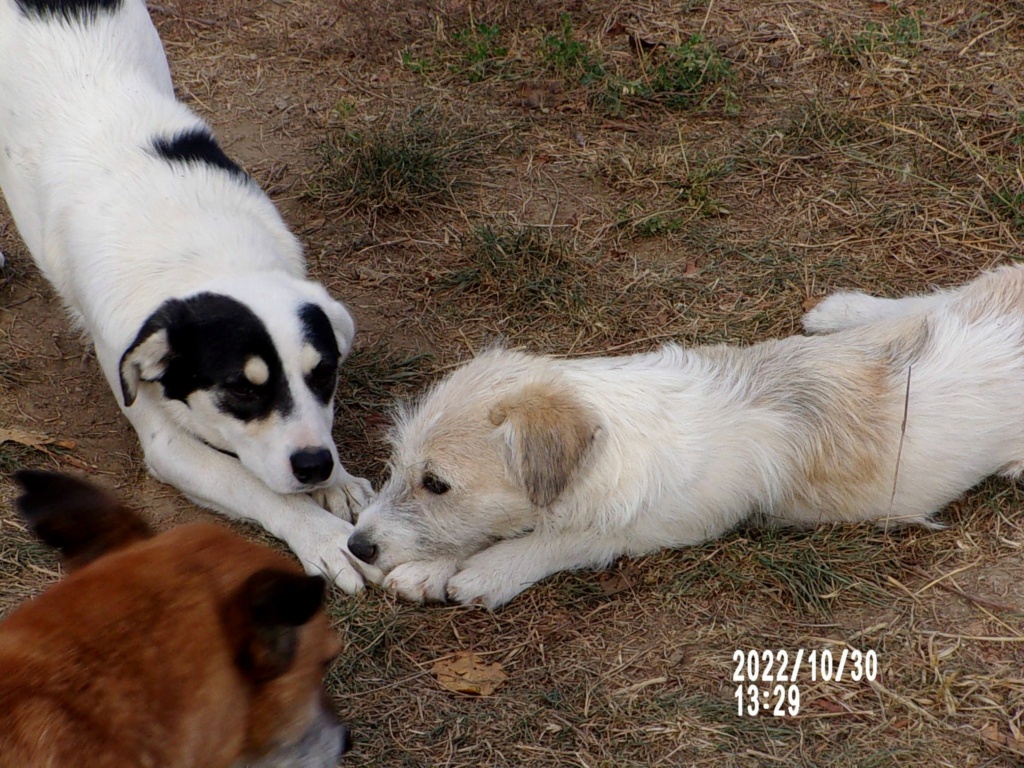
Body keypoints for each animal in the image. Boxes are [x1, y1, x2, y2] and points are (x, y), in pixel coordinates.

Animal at [1, 0, 376, 593]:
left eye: (324, 374)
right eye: (240, 390)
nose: (316, 467)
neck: (199, 248)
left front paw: (337, 481)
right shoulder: (166, 441)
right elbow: (256, 485)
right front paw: (319, 532)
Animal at [348, 264, 1024, 606]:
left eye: (437, 483)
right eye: (398, 467)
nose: (356, 545)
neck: (619, 426)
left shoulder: (661, 524)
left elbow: (566, 537)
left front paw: (485, 572)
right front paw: (429, 568)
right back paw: (848, 312)